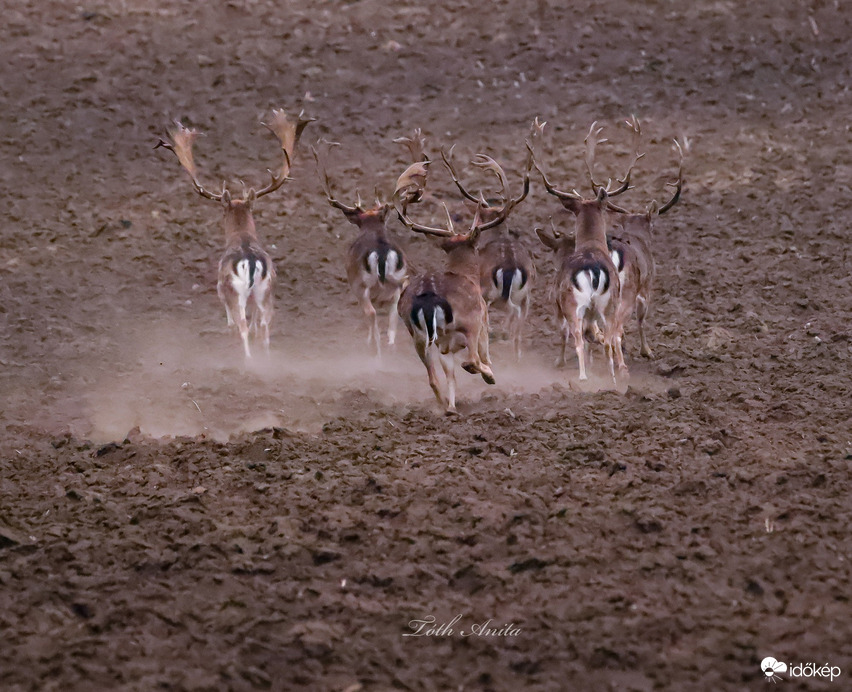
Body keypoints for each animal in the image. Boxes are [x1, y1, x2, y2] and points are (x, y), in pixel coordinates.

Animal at [155, 108, 312, 362]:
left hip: (235, 293)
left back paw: (246, 362)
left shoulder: (221, 291)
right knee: (264, 327)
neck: (242, 237)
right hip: (266, 292)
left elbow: (231, 325)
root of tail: (251, 262)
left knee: (243, 326)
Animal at [312, 130, 430, 356]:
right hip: (399, 282)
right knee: (394, 317)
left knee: (372, 314)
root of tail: (382, 255)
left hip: (361, 285)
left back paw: (374, 349)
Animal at [390, 147, 524, 414]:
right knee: (471, 361)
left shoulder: (445, 344)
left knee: (433, 377)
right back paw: (488, 376)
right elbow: (482, 357)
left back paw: (447, 407)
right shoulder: (481, 320)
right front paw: (489, 376)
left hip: (417, 334)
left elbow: (449, 375)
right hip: (469, 322)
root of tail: (429, 299)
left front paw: (452, 404)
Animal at [528, 119, 644, 384]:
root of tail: (593, 271)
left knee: (581, 339)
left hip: (575, 305)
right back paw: (614, 376)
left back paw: (583, 378)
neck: (591, 245)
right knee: (611, 337)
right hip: (608, 303)